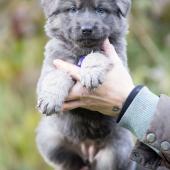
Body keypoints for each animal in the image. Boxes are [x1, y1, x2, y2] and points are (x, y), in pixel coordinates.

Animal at [35, 0, 135, 170]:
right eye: (73, 9)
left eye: (100, 10)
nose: (87, 29)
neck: (82, 51)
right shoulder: (50, 68)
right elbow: (57, 75)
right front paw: (50, 99)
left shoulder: (116, 58)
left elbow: (97, 55)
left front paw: (91, 73)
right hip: (50, 140)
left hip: (117, 151)